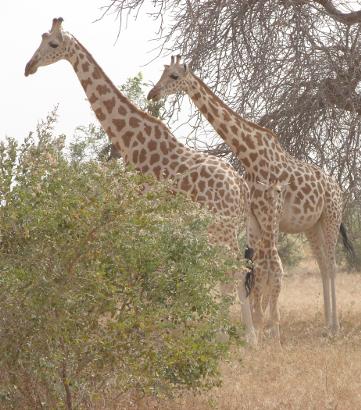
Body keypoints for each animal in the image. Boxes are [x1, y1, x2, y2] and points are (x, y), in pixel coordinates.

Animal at [23, 20, 258, 346]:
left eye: (54, 44)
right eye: (42, 38)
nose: (29, 67)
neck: (133, 143)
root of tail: (241, 187)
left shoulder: (147, 211)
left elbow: (148, 265)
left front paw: (143, 328)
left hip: (220, 228)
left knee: (231, 271)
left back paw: (236, 337)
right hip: (225, 229)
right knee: (234, 270)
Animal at [147, 55, 352, 336]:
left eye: (174, 76)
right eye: (163, 73)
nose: (152, 94)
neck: (249, 154)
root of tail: (338, 187)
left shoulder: (272, 212)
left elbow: (270, 265)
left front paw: (268, 327)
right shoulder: (254, 217)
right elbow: (254, 265)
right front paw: (257, 322)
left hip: (331, 216)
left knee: (331, 265)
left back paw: (334, 327)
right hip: (312, 225)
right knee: (322, 264)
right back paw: (324, 323)